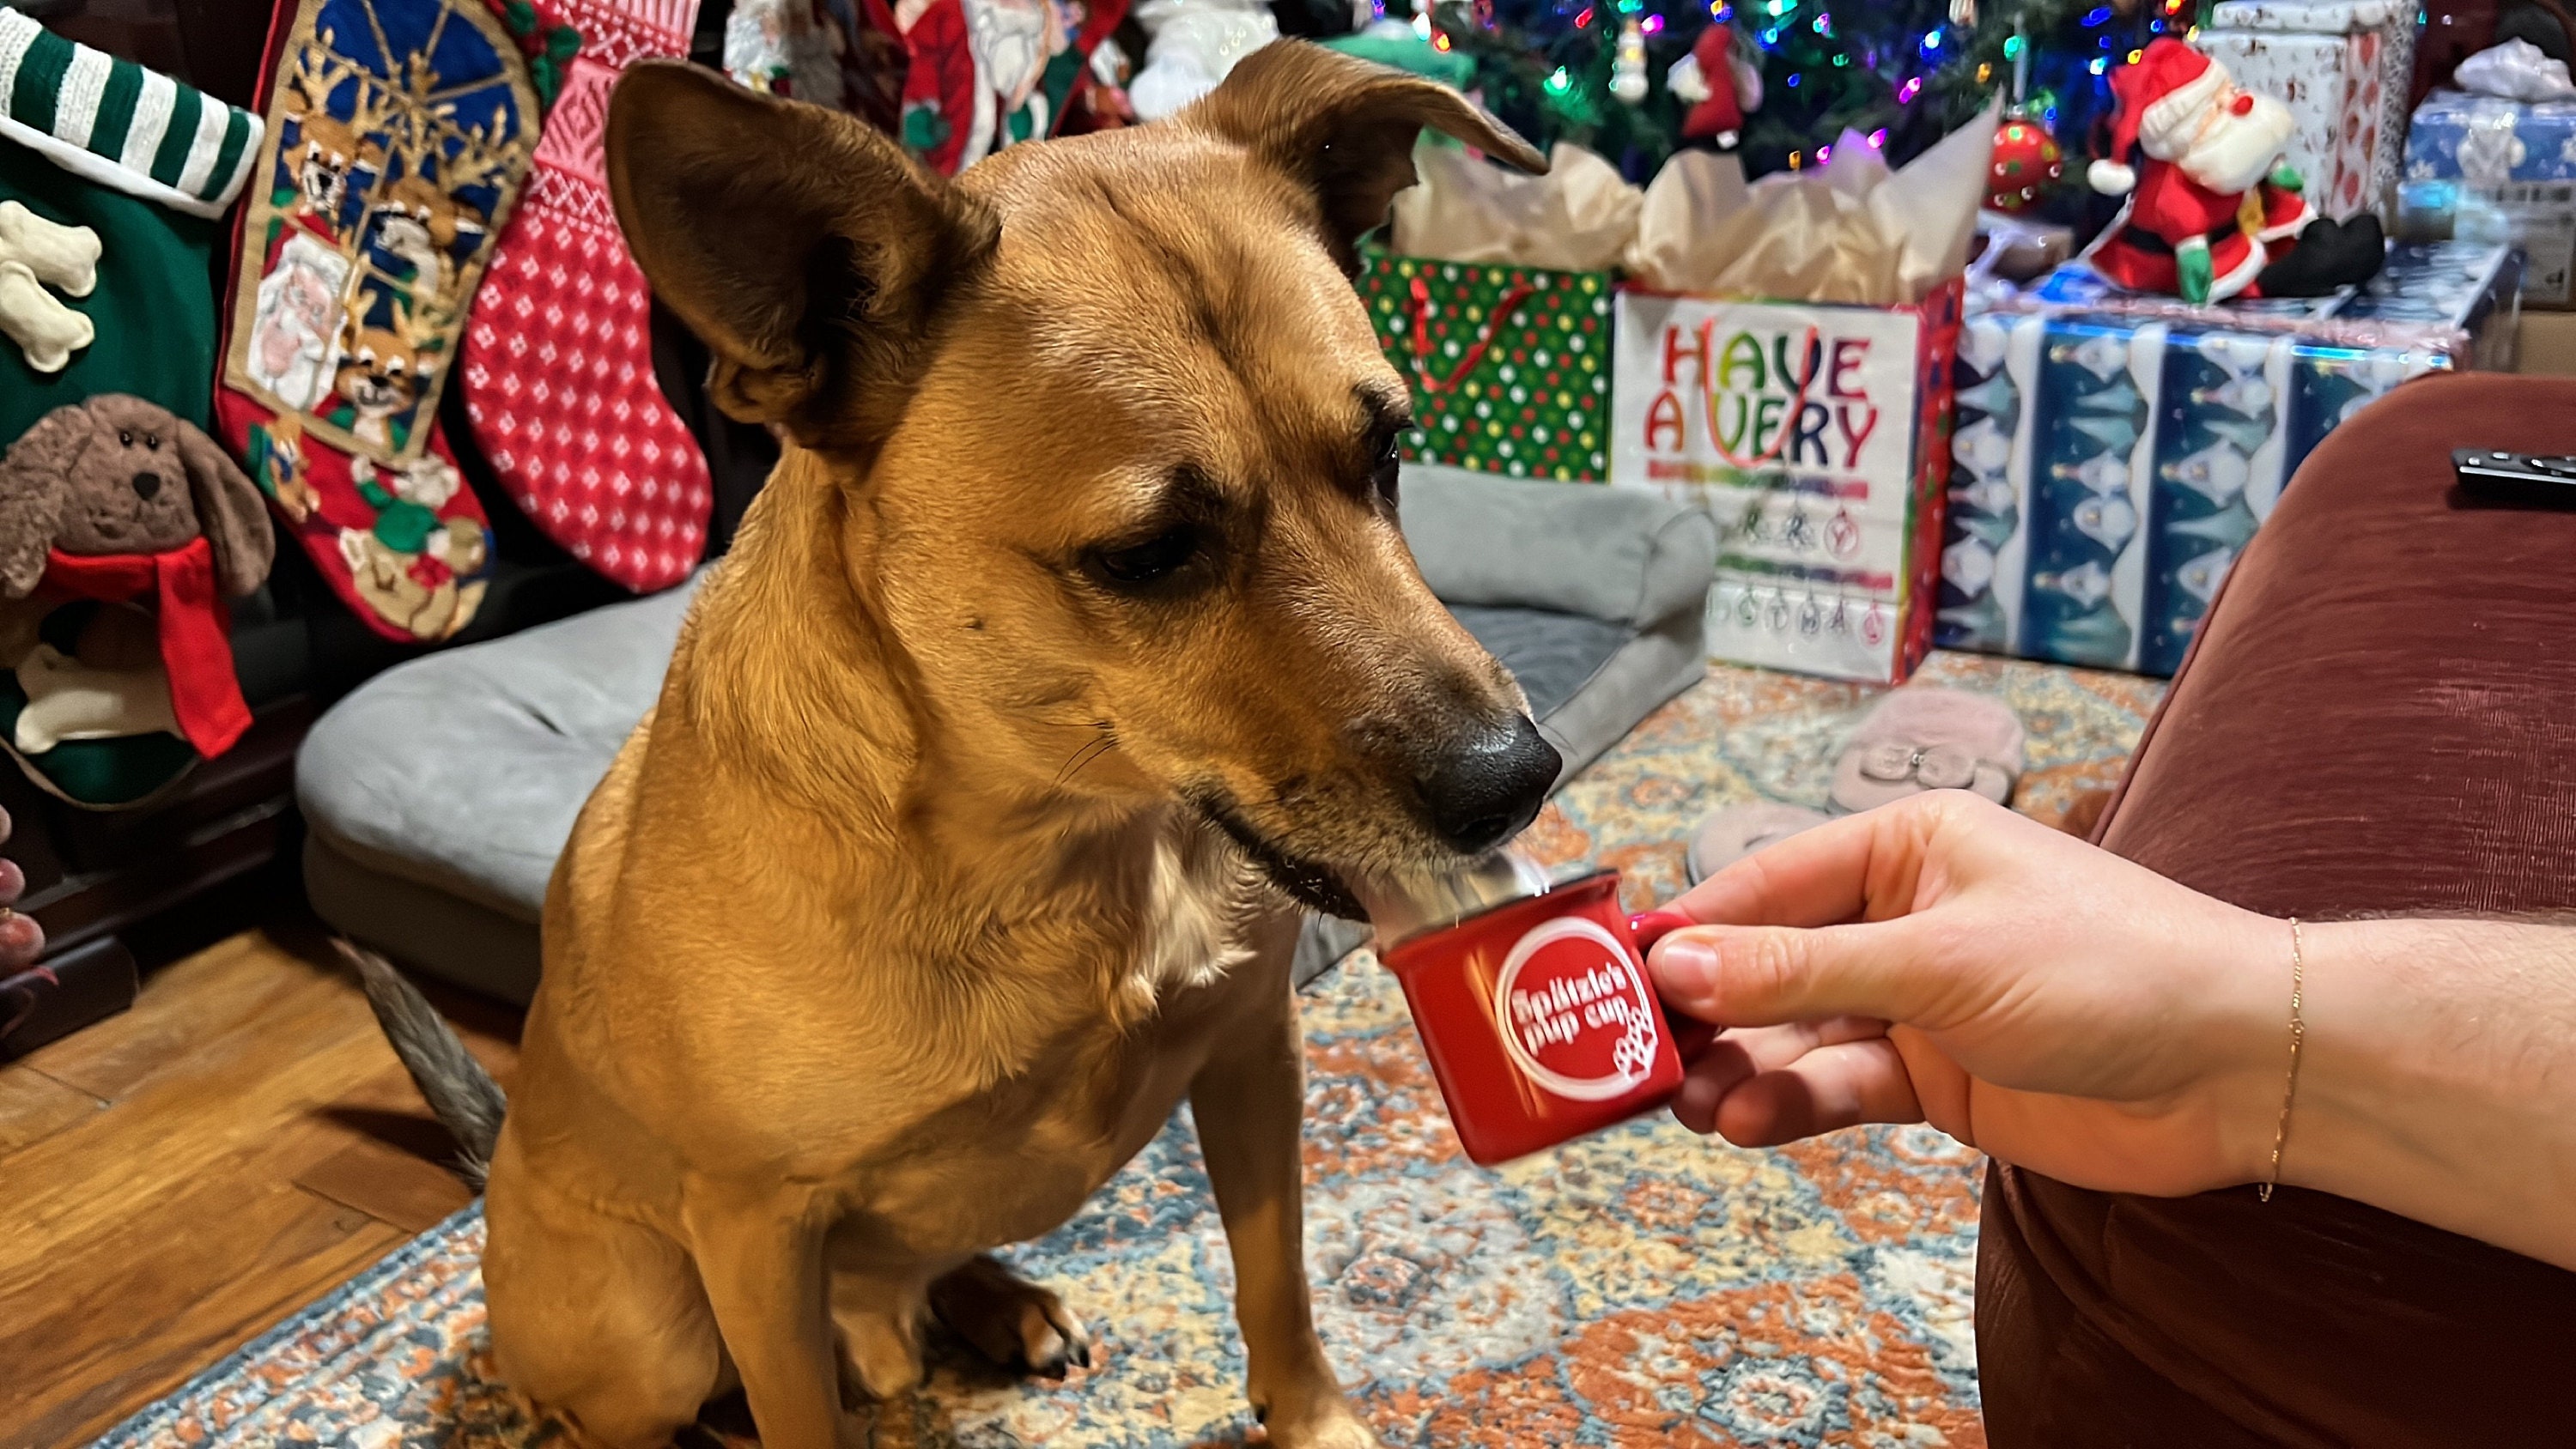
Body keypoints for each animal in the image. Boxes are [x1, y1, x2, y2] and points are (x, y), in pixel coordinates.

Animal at [361, 42, 1556, 1449]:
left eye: (1388, 449)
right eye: (1150, 555)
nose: (1519, 781)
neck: (1069, 842)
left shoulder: (1256, 1050)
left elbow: (1280, 1281)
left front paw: (1314, 1422)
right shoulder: (753, 1230)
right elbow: (800, 1418)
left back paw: (996, 1302)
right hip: (651, 1329)